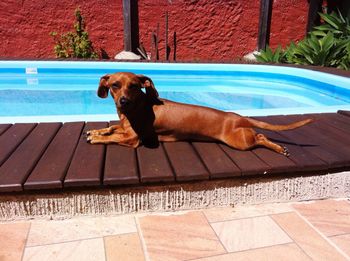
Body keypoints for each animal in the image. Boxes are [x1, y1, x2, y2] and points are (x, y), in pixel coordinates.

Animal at [86, 72, 314, 155]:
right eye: (115, 85)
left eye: (134, 86)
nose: (123, 101)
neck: (134, 109)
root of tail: (238, 116)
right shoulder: (124, 127)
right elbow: (112, 127)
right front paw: (97, 132)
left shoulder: (133, 139)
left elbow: (115, 137)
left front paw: (97, 139)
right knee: (260, 135)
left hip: (239, 141)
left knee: (259, 137)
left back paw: (277, 148)